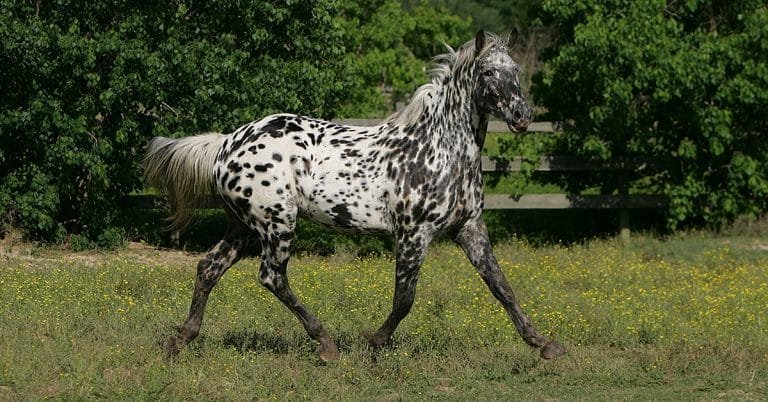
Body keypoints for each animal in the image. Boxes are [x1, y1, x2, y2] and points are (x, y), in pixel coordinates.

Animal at [143, 30, 565, 362]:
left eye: (516, 70)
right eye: (488, 71)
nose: (523, 117)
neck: (439, 149)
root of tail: (226, 143)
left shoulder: (469, 228)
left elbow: (502, 287)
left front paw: (544, 344)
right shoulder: (413, 235)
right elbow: (404, 299)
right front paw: (373, 343)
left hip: (244, 226)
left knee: (208, 267)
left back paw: (180, 340)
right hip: (277, 222)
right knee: (271, 277)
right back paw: (325, 343)